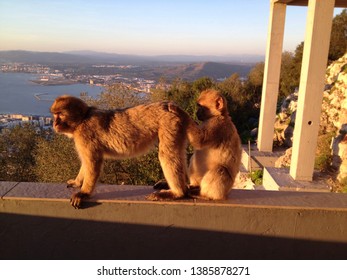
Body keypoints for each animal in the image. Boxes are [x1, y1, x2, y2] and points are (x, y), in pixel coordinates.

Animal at [50, 96, 189, 208]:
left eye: (59, 114)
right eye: (55, 115)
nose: (54, 123)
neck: (82, 119)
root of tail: (170, 106)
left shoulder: (85, 136)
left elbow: (93, 162)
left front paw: (84, 193)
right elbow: (86, 162)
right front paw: (77, 182)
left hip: (170, 124)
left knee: (167, 155)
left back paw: (178, 193)